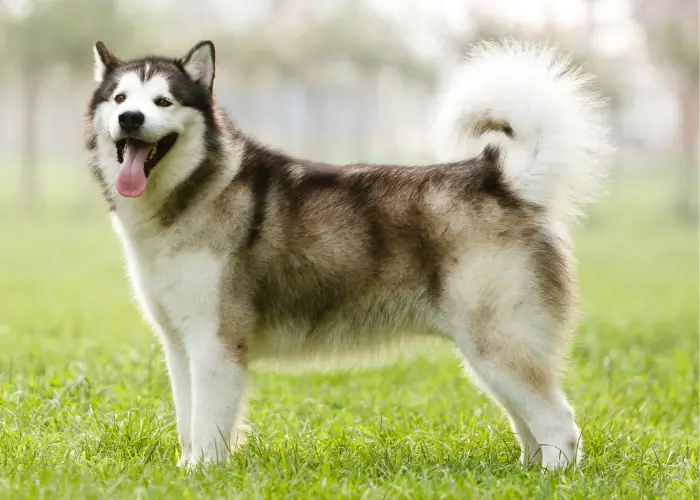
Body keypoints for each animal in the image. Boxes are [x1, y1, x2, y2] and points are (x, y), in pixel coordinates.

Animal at [86, 39, 612, 468]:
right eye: (120, 99)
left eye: (163, 101)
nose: (130, 119)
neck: (192, 193)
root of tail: (500, 177)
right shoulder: (179, 345)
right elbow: (188, 422)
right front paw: (184, 469)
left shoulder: (216, 342)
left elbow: (210, 426)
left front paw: (203, 475)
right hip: (492, 355)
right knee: (531, 424)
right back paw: (525, 473)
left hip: (498, 343)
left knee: (560, 424)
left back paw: (551, 478)